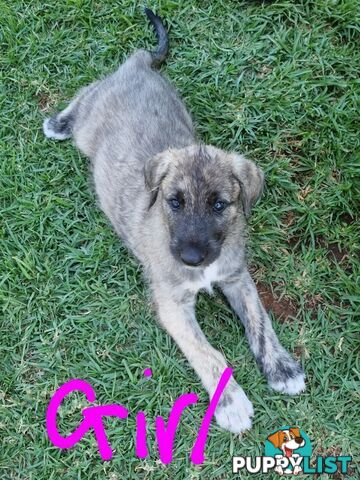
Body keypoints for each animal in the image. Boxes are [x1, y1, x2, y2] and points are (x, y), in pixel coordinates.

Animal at [43, 8, 306, 436]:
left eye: (220, 204)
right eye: (174, 202)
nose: (191, 258)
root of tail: (138, 65)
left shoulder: (237, 277)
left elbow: (260, 321)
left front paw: (281, 368)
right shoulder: (173, 305)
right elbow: (209, 352)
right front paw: (231, 402)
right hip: (89, 124)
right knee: (87, 91)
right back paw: (58, 122)